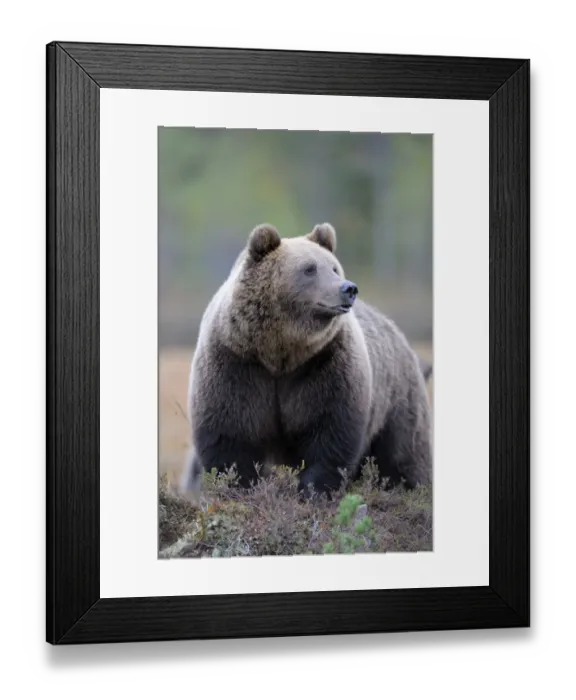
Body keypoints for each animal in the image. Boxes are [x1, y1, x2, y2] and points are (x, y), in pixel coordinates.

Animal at [179, 222, 433, 499]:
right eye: (309, 268)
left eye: (334, 267)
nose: (348, 289)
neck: (280, 351)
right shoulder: (236, 361)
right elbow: (230, 431)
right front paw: (241, 485)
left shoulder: (324, 363)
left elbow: (330, 428)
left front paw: (315, 489)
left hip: (396, 401)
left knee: (403, 453)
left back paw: (412, 486)